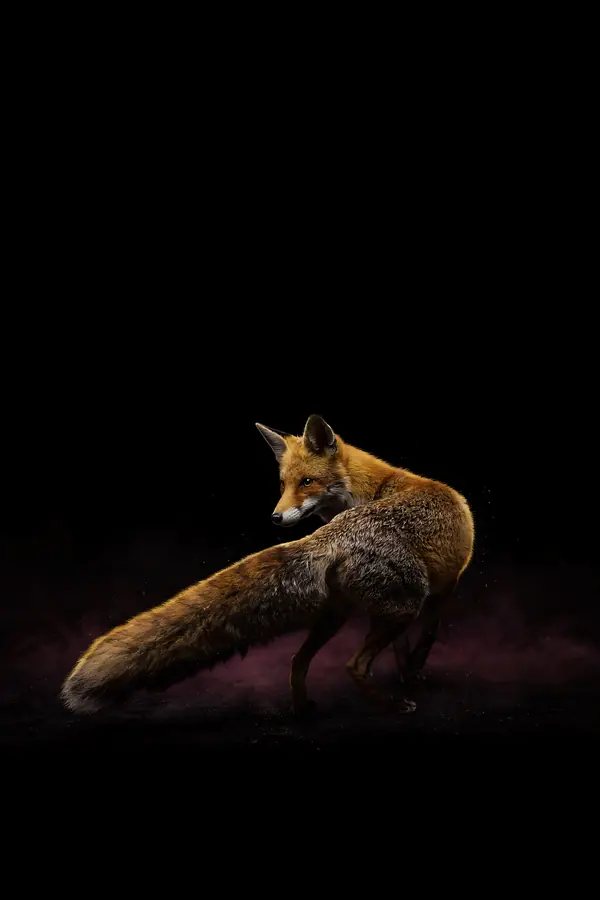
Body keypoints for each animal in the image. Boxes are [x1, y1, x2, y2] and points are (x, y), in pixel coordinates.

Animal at [61, 415, 474, 717]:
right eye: (282, 484)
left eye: (307, 482)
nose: (275, 518)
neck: (372, 492)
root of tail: (334, 534)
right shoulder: (443, 589)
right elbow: (428, 637)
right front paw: (413, 676)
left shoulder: (409, 601)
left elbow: (405, 650)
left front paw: (405, 674)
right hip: (401, 605)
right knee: (353, 665)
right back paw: (391, 705)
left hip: (341, 612)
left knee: (297, 661)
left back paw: (303, 710)